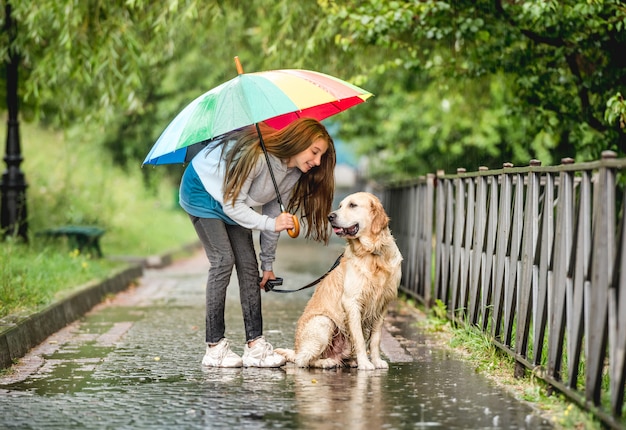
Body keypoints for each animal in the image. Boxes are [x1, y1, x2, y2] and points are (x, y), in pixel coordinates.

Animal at [276, 191, 402, 370]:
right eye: (341, 205)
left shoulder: (382, 305)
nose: (330, 216)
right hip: (324, 322)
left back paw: (349, 361)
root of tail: (296, 348)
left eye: (353, 205)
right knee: (303, 360)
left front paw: (377, 361)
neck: (372, 253)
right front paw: (365, 363)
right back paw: (326, 362)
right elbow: (360, 339)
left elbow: (375, 339)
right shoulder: (352, 302)